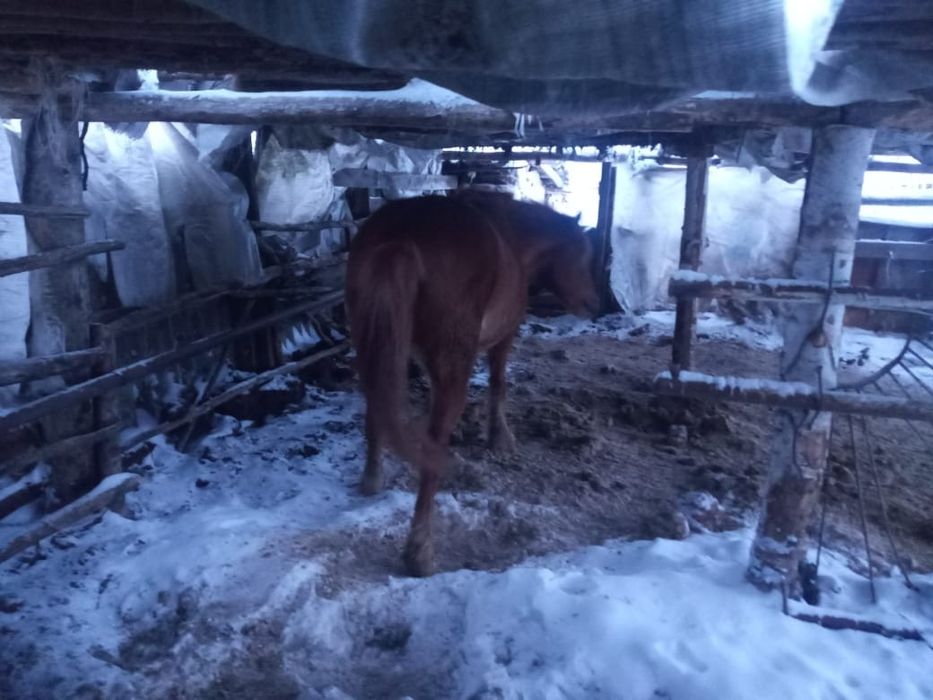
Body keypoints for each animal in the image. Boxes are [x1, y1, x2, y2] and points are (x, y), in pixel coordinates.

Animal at [345, 191, 600, 577]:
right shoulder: (504, 338)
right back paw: (420, 553)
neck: (514, 239)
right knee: (433, 446)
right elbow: (498, 385)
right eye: (584, 254)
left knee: (376, 410)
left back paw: (372, 481)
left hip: (371, 347)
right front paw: (501, 438)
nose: (594, 304)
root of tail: (402, 234)